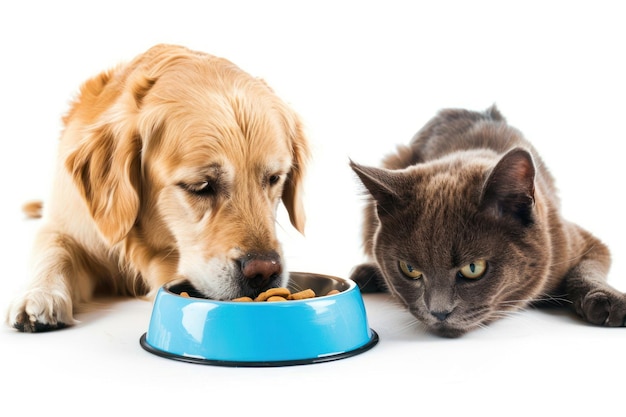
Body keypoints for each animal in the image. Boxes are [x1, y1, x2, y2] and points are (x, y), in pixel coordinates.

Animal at [4, 44, 308, 332]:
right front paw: (38, 295)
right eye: (201, 186)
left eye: (274, 178)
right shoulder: (65, 224)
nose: (264, 272)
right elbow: (53, 250)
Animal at [348, 105, 620, 336]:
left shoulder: (582, 242)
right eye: (409, 269)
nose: (439, 312)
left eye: (473, 268)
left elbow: (585, 270)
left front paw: (608, 301)